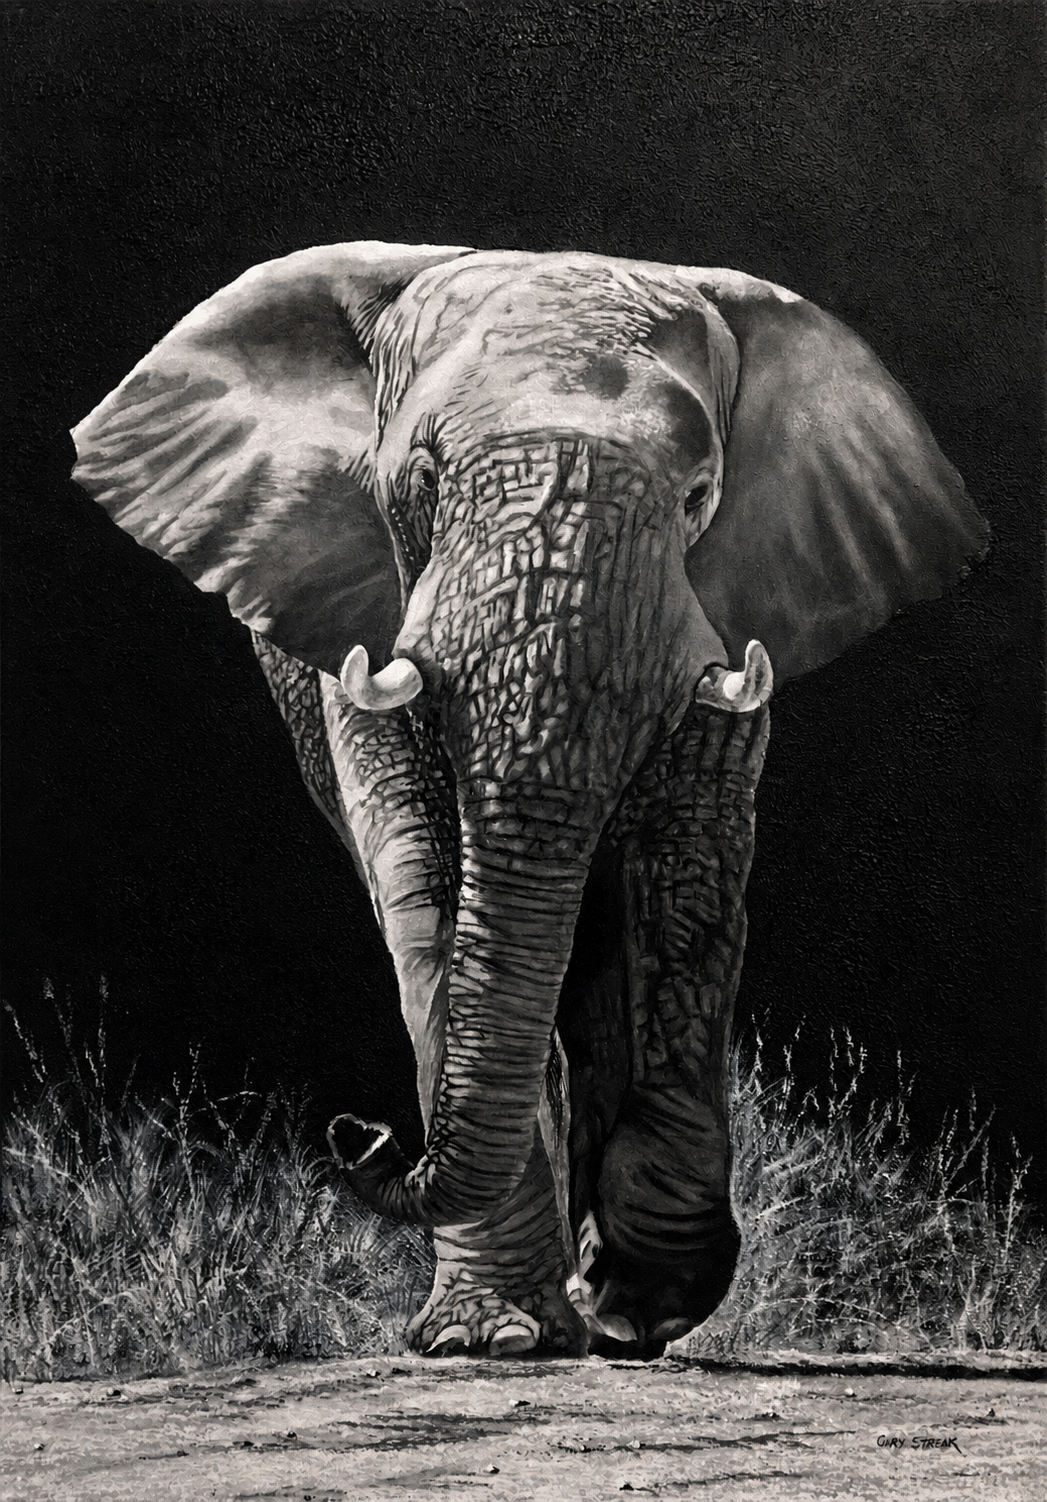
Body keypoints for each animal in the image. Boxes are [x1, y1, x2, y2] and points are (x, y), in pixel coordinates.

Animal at [71, 243, 987, 1360]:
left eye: (699, 495)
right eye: (421, 480)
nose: (356, 1131)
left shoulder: (729, 617)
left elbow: (686, 870)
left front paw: (644, 1301)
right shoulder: (358, 609)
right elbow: (426, 872)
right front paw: (496, 1339)